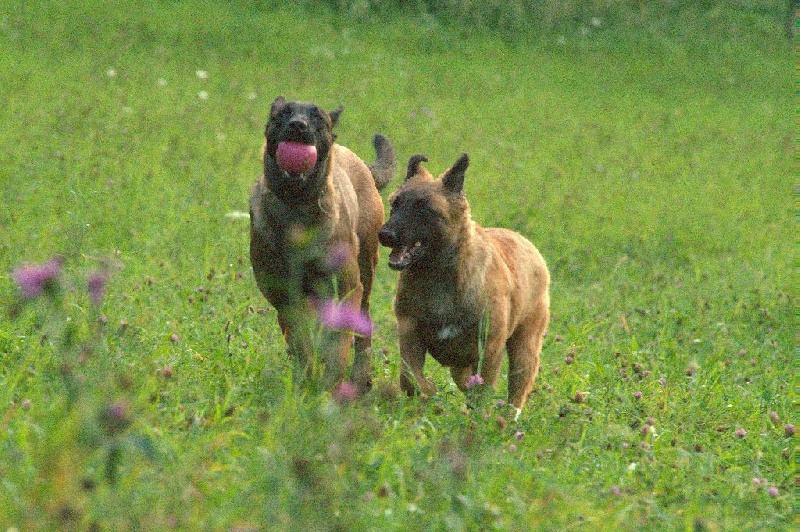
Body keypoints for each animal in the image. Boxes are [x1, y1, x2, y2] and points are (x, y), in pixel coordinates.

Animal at [252, 95, 396, 392]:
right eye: (281, 114)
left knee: (362, 328)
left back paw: (361, 378)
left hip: (366, 271)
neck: (296, 208)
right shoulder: (286, 299)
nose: (298, 126)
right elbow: (300, 343)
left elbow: (338, 342)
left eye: (317, 117)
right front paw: (307, 379)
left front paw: (331, 382)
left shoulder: (347, 288)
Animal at [378, 153, 548, 416]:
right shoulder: (410, 334)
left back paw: (509, 418)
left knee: (517, 391)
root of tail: (526, 243)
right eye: (395, 204)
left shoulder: (489, 349)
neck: (438, 275)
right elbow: (410, 378)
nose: (385, 235)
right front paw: (428, 390)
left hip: (525, 347)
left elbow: (482, 391)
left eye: (423, 208)